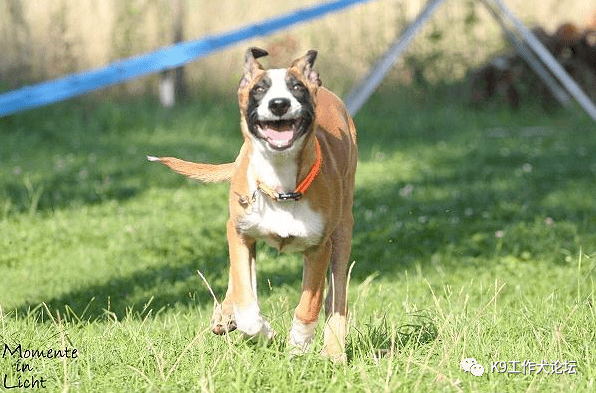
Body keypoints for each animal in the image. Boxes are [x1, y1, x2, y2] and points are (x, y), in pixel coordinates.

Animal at [149, 47, 356, 360]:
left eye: (297, 88)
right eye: (260, 89)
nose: (279, 104)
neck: (280, 185)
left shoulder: (320, 247)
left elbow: (309, 305)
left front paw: (298, 344)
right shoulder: (239, 232)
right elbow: (245, 297)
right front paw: (261, 331)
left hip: (343, 231)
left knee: (337, 296)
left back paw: (333, 352)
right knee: (242, 278)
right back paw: (225, 314)